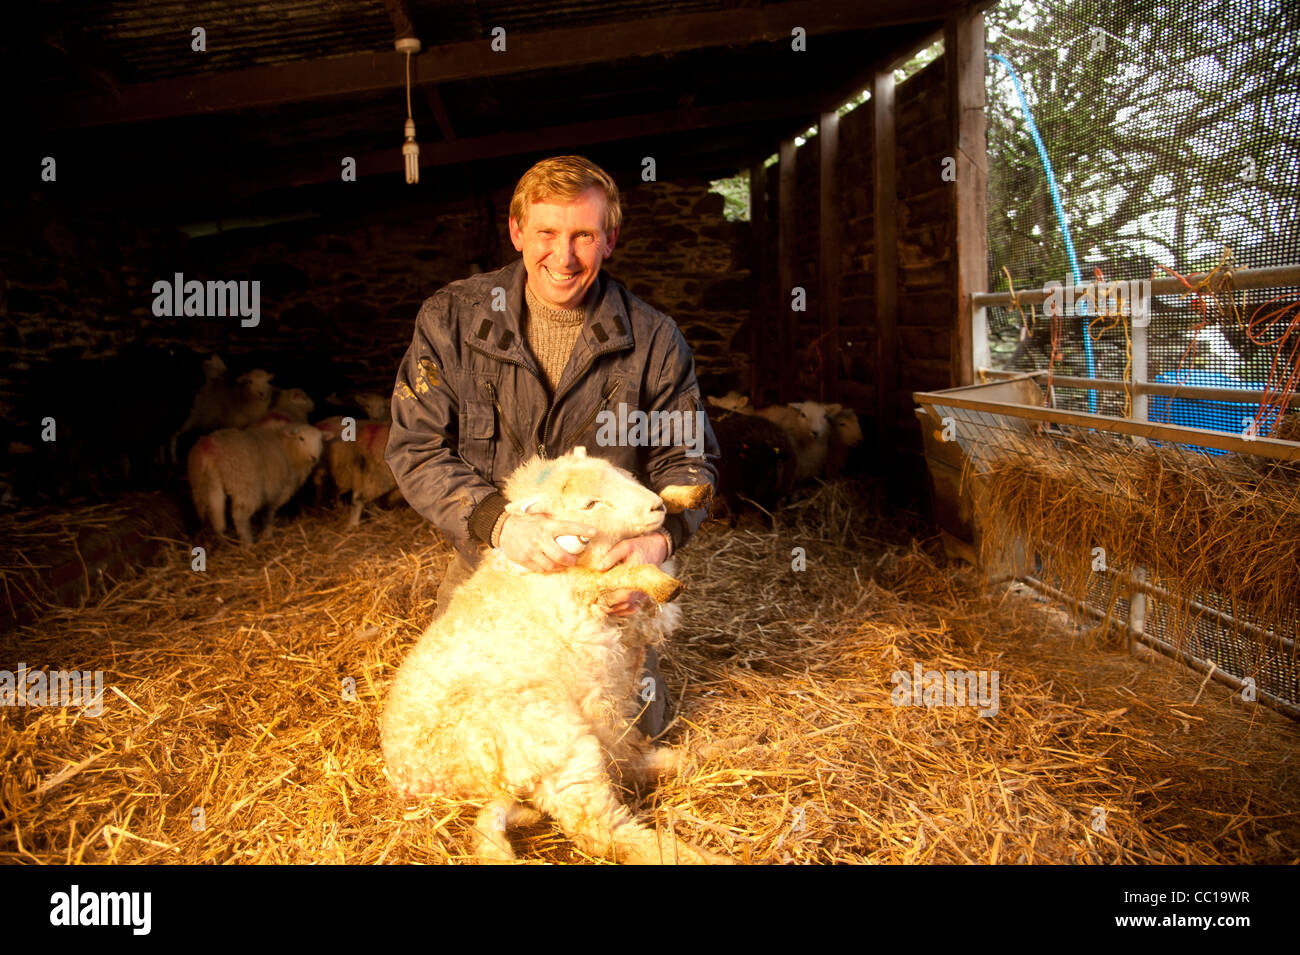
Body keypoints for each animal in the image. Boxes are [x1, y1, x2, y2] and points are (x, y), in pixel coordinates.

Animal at [187, 423, 325, 545]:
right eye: (301, 438)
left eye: (320, 440)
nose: (314, 457)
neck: (287, 450)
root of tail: (210, 447)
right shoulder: (277, 491)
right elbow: (269, 513)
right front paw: (267, 534)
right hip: (246, 485)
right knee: (239, 516)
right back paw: (248, 545)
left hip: (202, 485)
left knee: (211, 513)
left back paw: (219, 540)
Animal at [377, 446, 728, 867]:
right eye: (590, 504)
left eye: (621, 475)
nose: (654, 509)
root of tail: (419, 779)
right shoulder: (585, 585)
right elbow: (609, 577)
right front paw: (657, 580)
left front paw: (688, 494)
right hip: (555, 746)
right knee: (602, 830)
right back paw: (699, 853)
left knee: (630, 760)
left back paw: (713, 753)